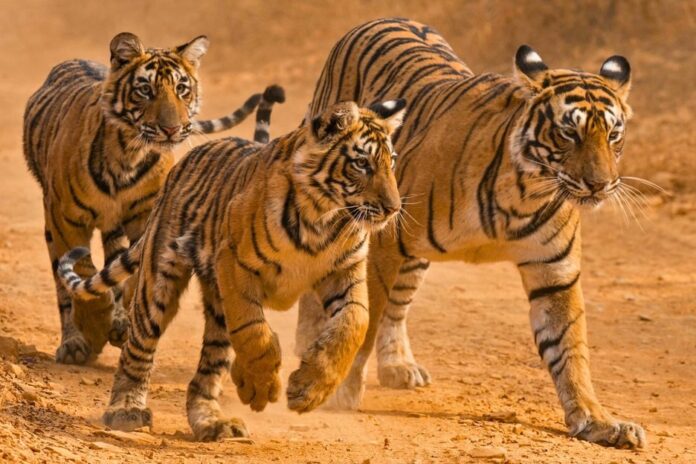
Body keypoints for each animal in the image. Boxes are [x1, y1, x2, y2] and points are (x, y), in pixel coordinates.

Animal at [23, 31, 276, 366]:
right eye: (145, 90)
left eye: (182, 89)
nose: (171, 129)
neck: (129, 153)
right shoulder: (66, 218)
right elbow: (84, 272)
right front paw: (97, 325)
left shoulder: (148, 217)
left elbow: (131, 276)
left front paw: (123, 320)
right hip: (54, 223)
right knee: (64, 285)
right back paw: (75, 342)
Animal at [57, 99, 406, 440]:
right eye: (362, 164)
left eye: (392, 162)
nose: (393, 209)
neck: (323, 218)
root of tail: (183, 163)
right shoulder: (234, 262)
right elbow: (253, 330)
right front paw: (263, 385)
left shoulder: (346, 270)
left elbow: (354, 322)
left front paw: (309, 390)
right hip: (159, 281)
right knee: (139, 347)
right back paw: (126, 410)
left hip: (215, 309)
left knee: (208, 370)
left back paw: (213, 421)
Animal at [296, 18, 646, 449]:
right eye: (569, 134)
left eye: (613, 135)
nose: (600, 184)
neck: (525, 194)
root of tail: (383, 19)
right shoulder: (383, 241)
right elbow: (363, 315)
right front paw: (340, 391)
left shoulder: (555, 271)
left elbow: (570, 349)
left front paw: (598, 421)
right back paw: (307, 345)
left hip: (415, 260)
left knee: (397, 306)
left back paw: (399, 366)